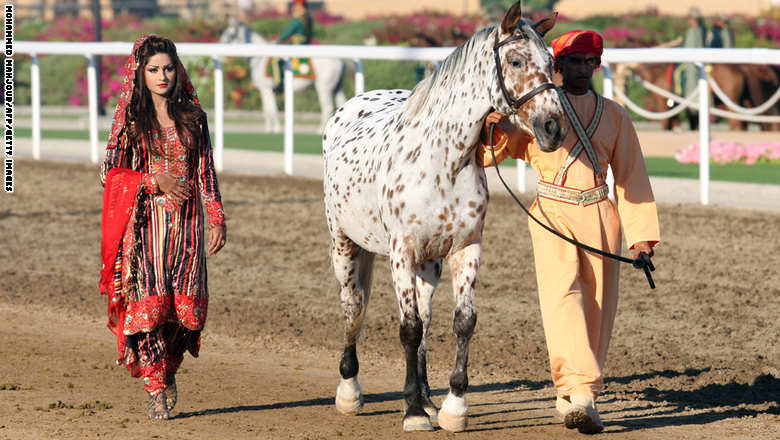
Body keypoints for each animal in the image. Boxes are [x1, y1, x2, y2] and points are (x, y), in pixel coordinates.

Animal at [221, 18, 352, 132]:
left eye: (230, 35)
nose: (221, 43)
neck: (260, 59)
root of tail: (340, 60)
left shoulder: (267, 88)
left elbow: (272, 109)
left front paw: (277, 128)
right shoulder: (264, 90)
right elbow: (266, 110)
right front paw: (268, 129)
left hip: (323, 88)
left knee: (327, 107)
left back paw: (320, 129)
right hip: (337, 88)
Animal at [322, 0, 568, 434]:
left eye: (551, 61)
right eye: (516, 60)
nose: (553, 127)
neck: (441, 161)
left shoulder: (465, 249)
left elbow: (461, 321)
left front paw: (453, 407)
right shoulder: (400, 253)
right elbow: (407, 328)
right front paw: (412, 413)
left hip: (429, 265)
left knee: (425, 318)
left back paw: (426, 397)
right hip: (344, 244)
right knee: (353, 306)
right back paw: (350, 391)